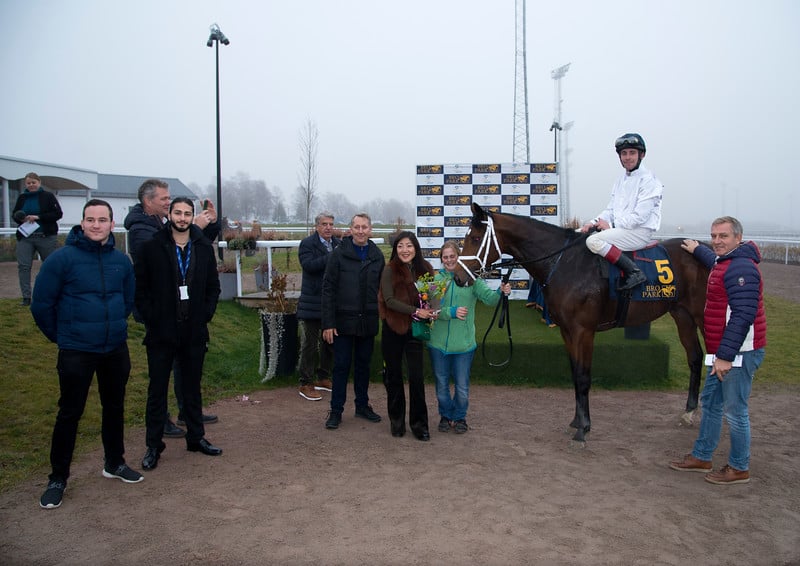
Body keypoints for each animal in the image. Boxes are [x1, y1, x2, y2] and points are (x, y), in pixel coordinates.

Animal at [454, 204, 708, 444]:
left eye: (474, 238)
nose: (457, 277)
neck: (563, 263)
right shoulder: (567, 331)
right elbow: (575, 373)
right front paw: (577, 421)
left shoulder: (583, 331)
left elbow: (584, 376)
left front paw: (583, 430)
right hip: (682, 315)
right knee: (695, 358)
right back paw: (689, 411)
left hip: (702, 316)